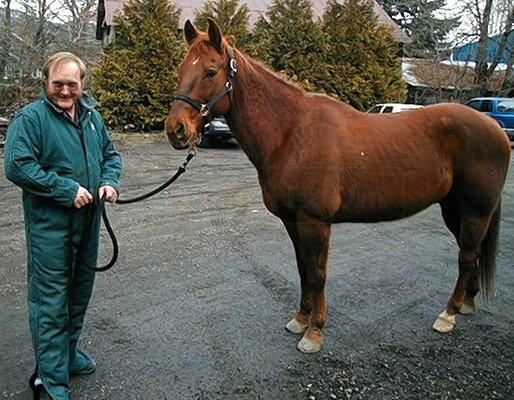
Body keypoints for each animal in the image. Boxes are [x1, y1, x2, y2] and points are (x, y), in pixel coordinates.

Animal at [165, 18, 508, 352]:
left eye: (210, 71)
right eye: (180, 70)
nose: (176, 129)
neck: (292, 134)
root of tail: (495, 127)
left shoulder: (314, 221)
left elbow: (317, 274)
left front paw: (314, 333)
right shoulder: (293, 221)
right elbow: (302, 269)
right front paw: (300, 320)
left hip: (475, 211)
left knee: (466, 256)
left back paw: (448, 315)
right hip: (453, 210)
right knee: (472, 253)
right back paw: (467, 304)